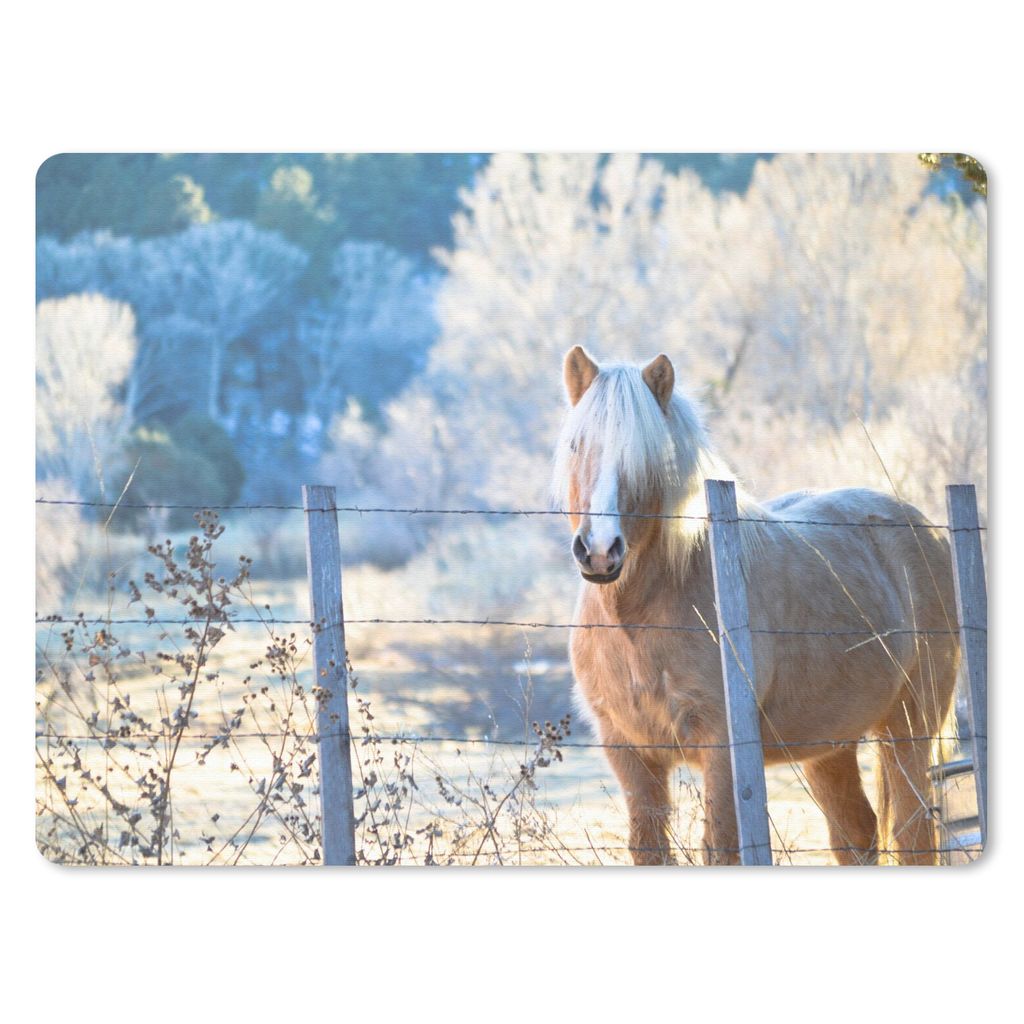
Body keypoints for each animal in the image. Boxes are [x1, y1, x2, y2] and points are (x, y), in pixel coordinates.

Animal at [555, 345, 958, 865]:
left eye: (649, 457)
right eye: (575, 445)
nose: (601, 551)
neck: (637, 622)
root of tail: (924, 529)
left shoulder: (723, 750)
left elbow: (722, 848)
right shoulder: (629, 752)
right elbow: (649, 849)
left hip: (908, 729)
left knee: (913, 836)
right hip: (832, 744)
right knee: (857, 835)